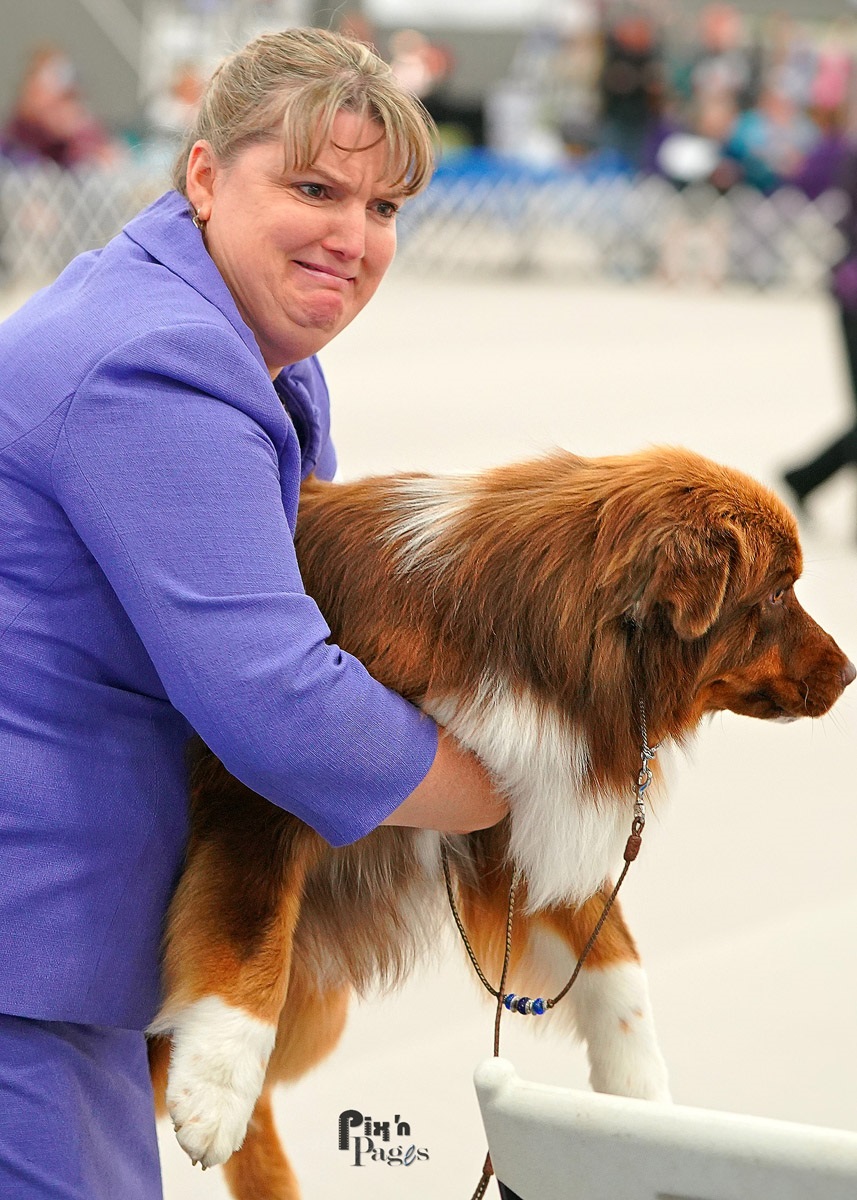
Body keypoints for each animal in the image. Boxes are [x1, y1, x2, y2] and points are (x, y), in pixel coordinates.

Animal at [145, 448, 849, 1200]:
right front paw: (215, 1089)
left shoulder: (515, 814)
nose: (850, 673)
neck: (543, 645)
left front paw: (640, 1097)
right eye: (775, 595)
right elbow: (253, 934)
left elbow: (615, 955)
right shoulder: (267, 783)